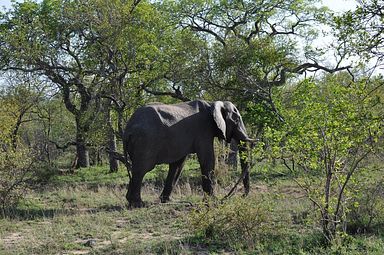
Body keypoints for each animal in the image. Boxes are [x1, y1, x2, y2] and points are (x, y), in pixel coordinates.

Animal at [123, 98, 254, 208]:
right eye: (237, 119)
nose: (242, 195)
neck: (212, 105)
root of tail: (128, 129)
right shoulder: (203, 131)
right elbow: (207, 159)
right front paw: (212, 201)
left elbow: (178, 165)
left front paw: (168, 201)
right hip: (145, 142)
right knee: (141, 170)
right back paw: (138, 204)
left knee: (137, 170)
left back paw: (131, 201)